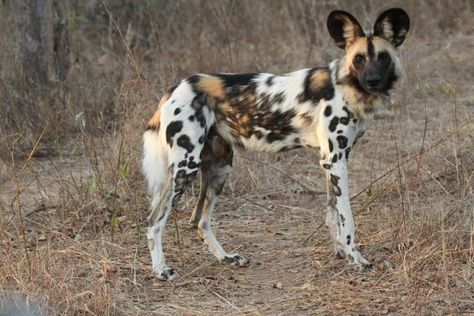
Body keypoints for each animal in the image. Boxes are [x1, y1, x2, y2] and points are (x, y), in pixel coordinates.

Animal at [143, 7, 410, 280]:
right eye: (359, 59)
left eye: (383, 57)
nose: (373, 80)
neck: (349, 87)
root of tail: (176, 88)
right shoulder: (336, 161)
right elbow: (347, 217)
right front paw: (355, 258)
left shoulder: (331, 161)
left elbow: (332, 214)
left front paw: (340, 254)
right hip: (185, 168)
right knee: (154, 221)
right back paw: (161, 270)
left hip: (220, 167)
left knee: (199, 221)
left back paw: (226, 258)